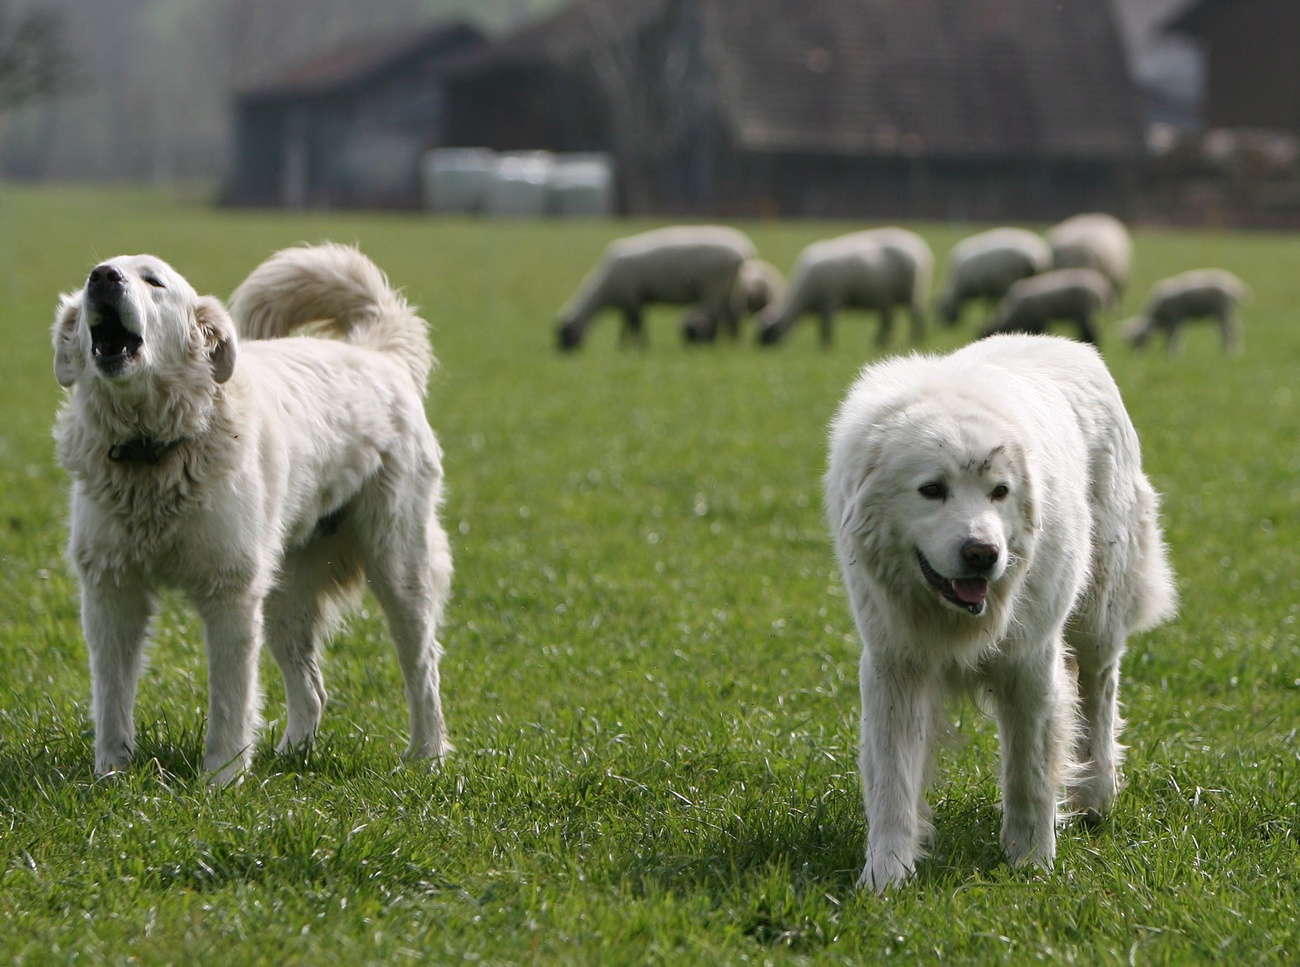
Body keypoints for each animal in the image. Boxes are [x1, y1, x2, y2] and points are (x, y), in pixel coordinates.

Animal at [53, 241, 454, 785]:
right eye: (93, 275)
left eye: (154, 281)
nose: (103, 278)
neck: (152, 452)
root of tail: (377, 352)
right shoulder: (112, 590)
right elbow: (112, 696)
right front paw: (110, 776)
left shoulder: (230, 593)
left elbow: (229, 699)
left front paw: (221, 781)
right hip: (284, 595)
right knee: (313, 689)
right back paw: (291, 757)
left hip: (398, 570)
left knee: (422, 670)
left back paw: (427, 759)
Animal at [553, 224, 759, 348]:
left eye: (564, 333)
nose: (562, 353)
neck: (603, 293)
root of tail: (744, 252)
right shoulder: (632, 300)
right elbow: (628, 324)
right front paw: (626, 347)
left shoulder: (631, 297)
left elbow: (635, 324)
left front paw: (636, 346)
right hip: (731, 288)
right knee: (732, 315)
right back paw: (732, 343)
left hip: (714, 287)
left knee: (718, 315)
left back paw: (721, 342)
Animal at [826, 335, 1185, 889]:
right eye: (932, 489)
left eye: (1000, 492)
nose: (983, 553)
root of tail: (1072, 345)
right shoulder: (895, 664)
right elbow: (892, 783)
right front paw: (884, 879)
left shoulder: (1028, 661)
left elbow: (1029, 775)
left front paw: (1031, 866)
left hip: (1097, 619)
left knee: (1099, 694)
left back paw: (1096, 797)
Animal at [1123, 267, 1253, 356]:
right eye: (1132, 341)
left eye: (1142, 339)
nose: (1138, 356)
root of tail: (1235, 285)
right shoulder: (1171, 323)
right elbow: (1169, 339)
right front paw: (1166, 352)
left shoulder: (1175, 319)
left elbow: (1174, 338)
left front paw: (1172, 354)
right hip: (1222, 312)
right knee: (1235, 327)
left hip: (1223, 309)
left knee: (1228, 330)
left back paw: (1230, 351)